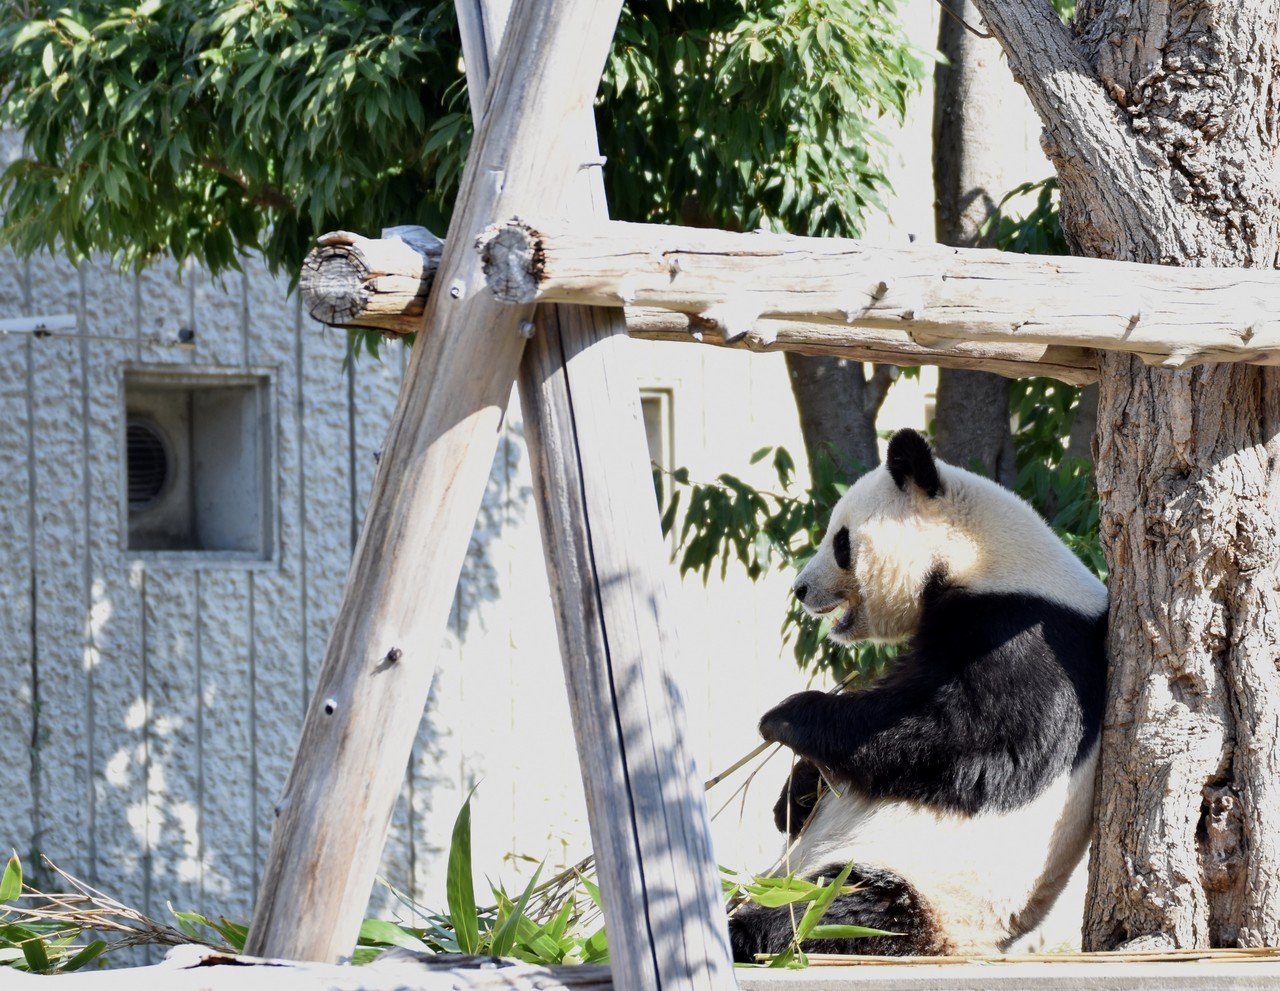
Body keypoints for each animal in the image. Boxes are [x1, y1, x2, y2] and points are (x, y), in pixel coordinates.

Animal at [732, 430, 1111, 967]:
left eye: (841, 541)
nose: (801, 589)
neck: (989, 557)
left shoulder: (1028, 635)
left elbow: (964, 744)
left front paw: (785, 718)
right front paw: (795, 792)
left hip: (915, 885)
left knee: (831, 908)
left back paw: (746, 929)